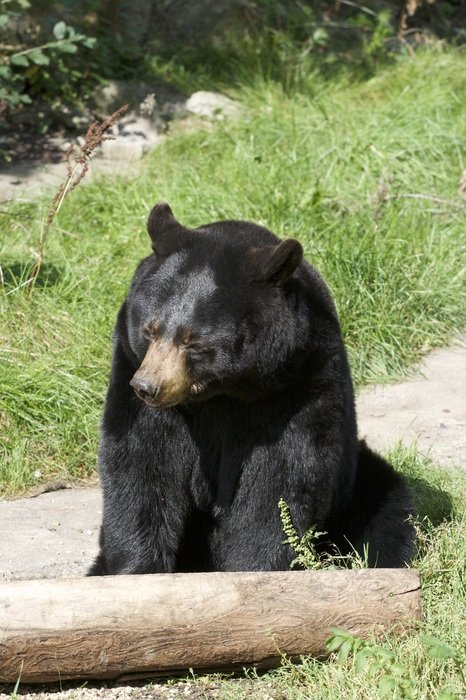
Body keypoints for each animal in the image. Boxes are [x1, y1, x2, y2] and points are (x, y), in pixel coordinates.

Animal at [88, 203, 415, 575]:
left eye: (194, 342)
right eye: (149, 330)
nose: (148, 387)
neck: (223, 391)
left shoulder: (296, 382)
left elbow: (280, 481)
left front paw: (253, 570)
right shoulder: (130, 364)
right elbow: (140, 463)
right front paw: (137, 570)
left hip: (356, 485)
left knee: (387, 511)